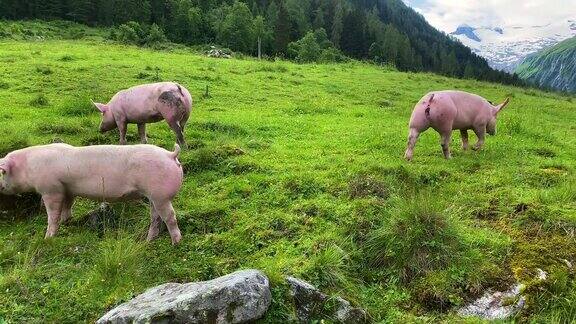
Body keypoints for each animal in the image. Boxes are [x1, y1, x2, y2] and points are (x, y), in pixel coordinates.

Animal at [0, 144, 182, 243]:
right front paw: (67, 221)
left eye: (2, 172)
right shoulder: (68, 189)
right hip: (153, 196)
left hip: (161, 195)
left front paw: (48, 238)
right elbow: (67, 206)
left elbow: (52, 214)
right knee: (156, 218)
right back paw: (148, 240)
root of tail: (170, 155)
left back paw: (176, 243)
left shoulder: (51, 189)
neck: (28, 167)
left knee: (170, 217)